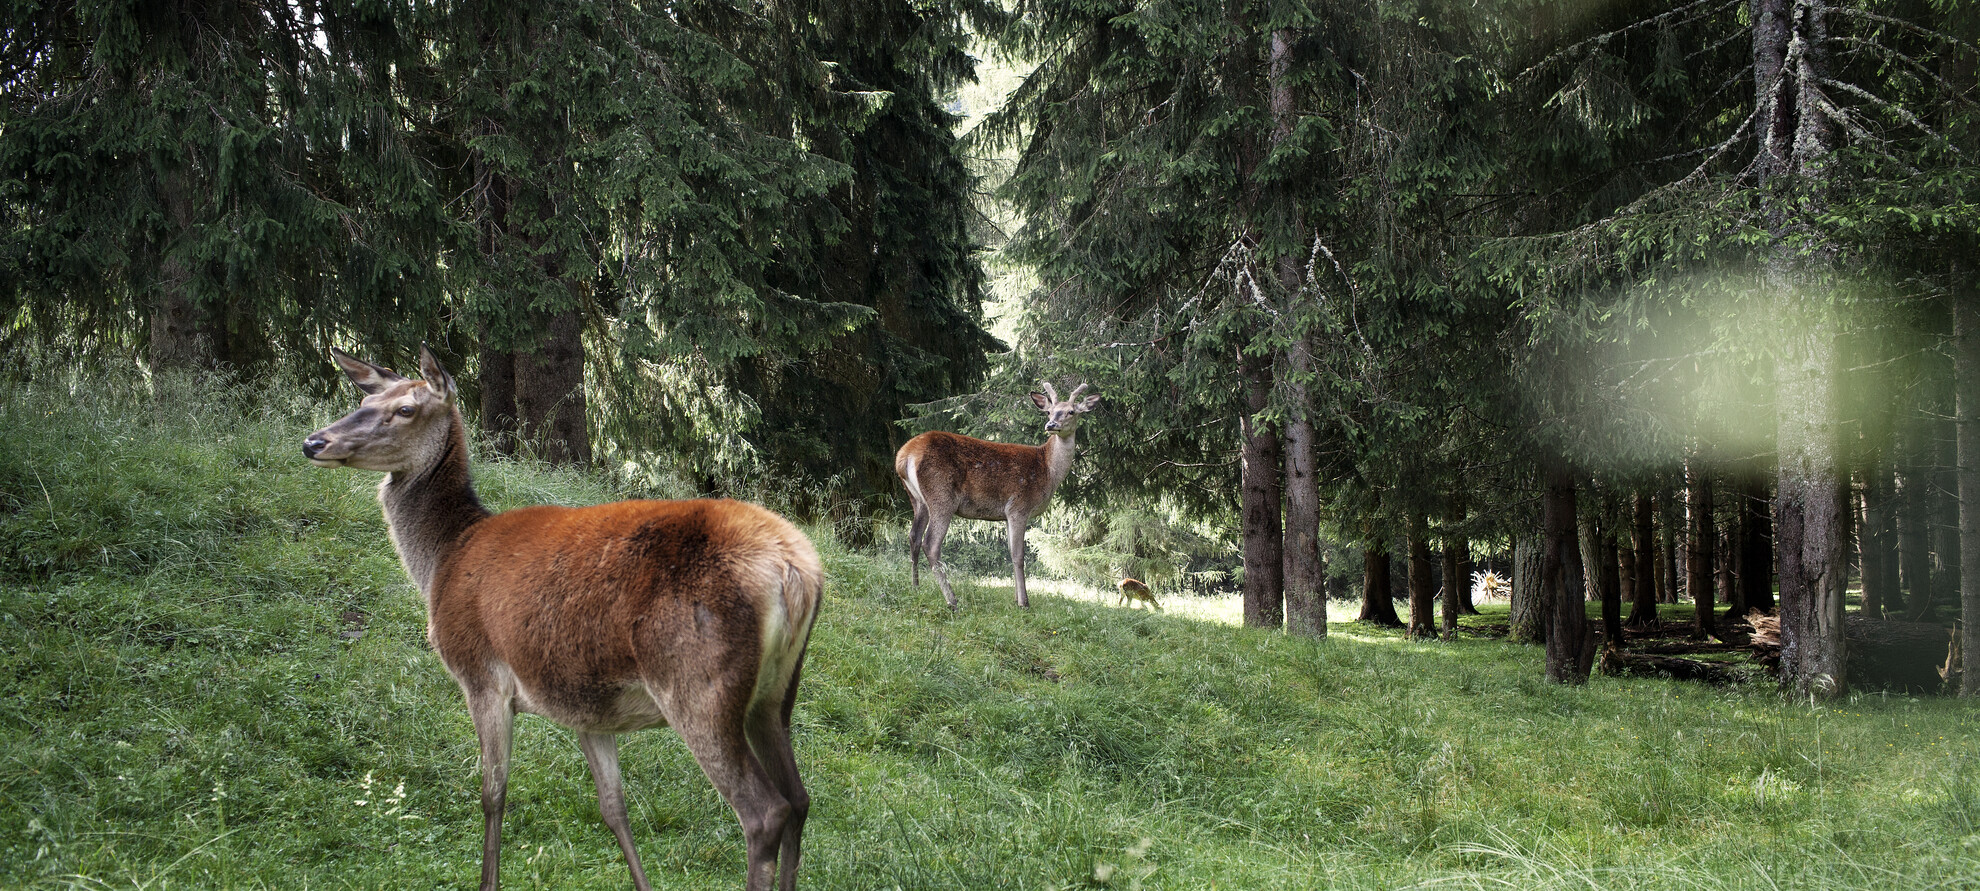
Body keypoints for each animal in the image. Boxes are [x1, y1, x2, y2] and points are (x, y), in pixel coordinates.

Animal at [298, 346, 819, 891]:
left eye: (405, 409)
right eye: (365, 400)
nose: (314, 442)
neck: (443, 560)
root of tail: (794, 569)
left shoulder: (480, 676)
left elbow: (493, 793)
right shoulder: (584, 706)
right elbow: (614, 808)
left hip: (698, 685)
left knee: (765, 811)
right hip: (775, 692)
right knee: (800, 799)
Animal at [894, 380, 1100, 609]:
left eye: (1071, 411)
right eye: (1049, 411)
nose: (1051, 425)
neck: (1048, 470)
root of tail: (905, 456)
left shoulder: (1007, 514)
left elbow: (1011, 553)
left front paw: (1016, 598)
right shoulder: (1019, 506)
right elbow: (1018, 555)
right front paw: (1024, 602)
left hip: (916, 499)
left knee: (914, 537)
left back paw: (916, 587)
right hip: (941, 495)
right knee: (930, 543)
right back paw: (952, 601)